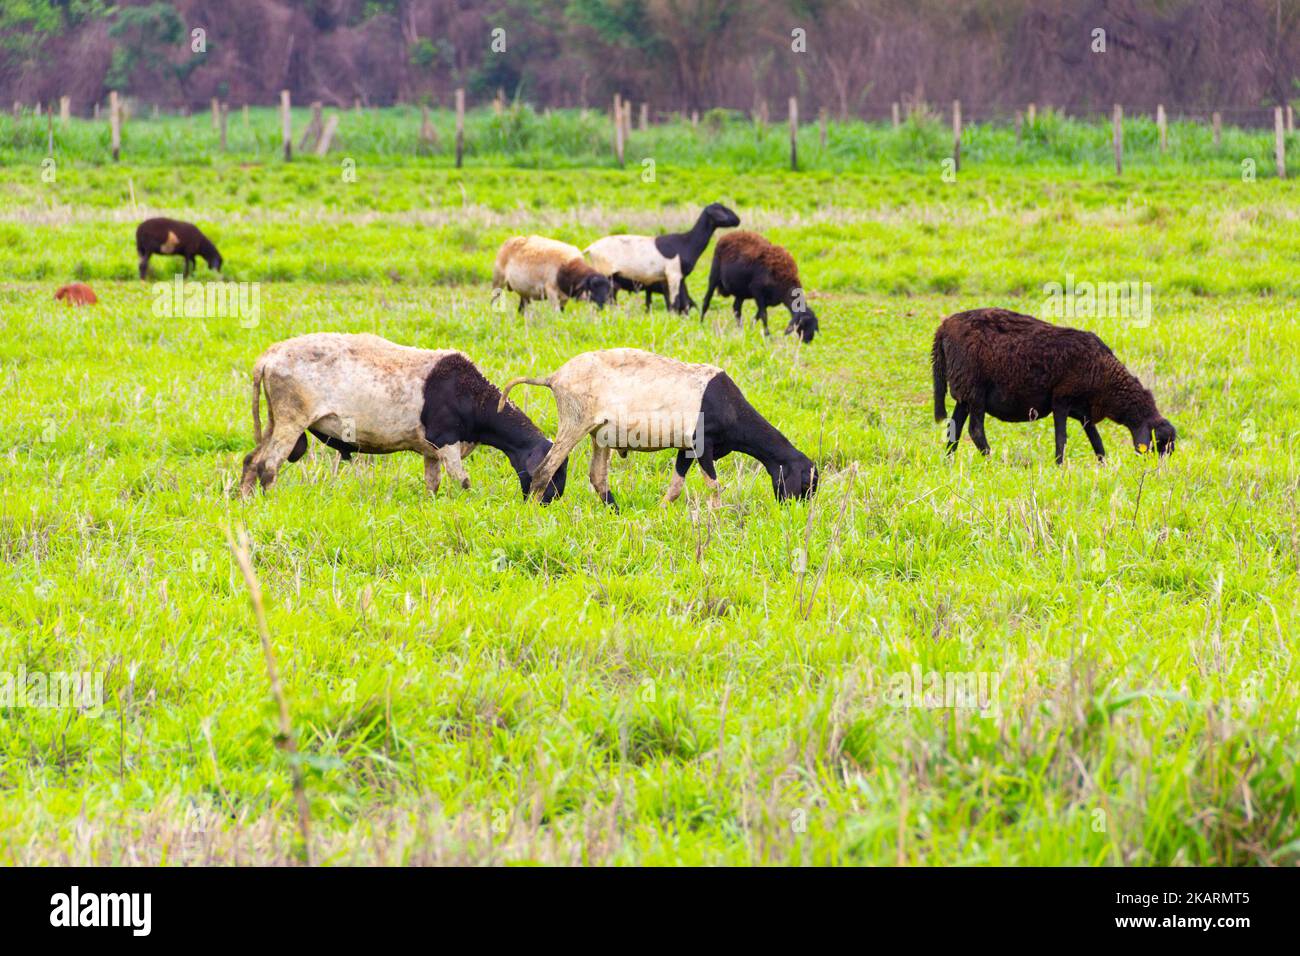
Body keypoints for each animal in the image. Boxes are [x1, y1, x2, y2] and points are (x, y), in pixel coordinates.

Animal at [241, 332, 566, 502]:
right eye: (553, 471)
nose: (552, 500)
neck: (471, 397)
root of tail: (269, 357)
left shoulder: (431, 451)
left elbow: (433, 485)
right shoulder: (446, 441)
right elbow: (462, 481)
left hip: (275, 420)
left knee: (251, 461)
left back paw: (246, 500)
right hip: (291, 419)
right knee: (268, 466)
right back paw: (271, 501)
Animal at [493, 345, 811, 509]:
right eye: (809, 480)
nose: (796, 511)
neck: (728, 404)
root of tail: (554, 377)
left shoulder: (686, 448)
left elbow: (676, 486)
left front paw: (661, 511)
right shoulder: (703, 444)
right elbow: (714, 486)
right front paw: (717, 515)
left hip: (598, 434)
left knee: (597, 477)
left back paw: (615, 511)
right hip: (575, 423)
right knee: (544, 471)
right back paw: (533, 511)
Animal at [582, 202, 738, 314]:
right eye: (723, 209)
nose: (738, 220)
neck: (686, 242)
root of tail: (591, 247)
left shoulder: (668, 278)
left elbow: (674, 303)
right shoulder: (673, 274)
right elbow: (675, 303)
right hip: (604, 274)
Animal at [930, 308, 1175, 465]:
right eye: (1159, 443)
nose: (1156, 474)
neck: (1106, 378)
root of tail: (943, 328)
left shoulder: (1084, 411)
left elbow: (1096, 440)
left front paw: (1103, 464)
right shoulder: (1061, 400)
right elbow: (1062, 438)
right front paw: (1059, 465)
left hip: (964, 393)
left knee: (955, 429)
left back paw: (948, 461)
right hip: (975, 390)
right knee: (975, 430)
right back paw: (992, 462)